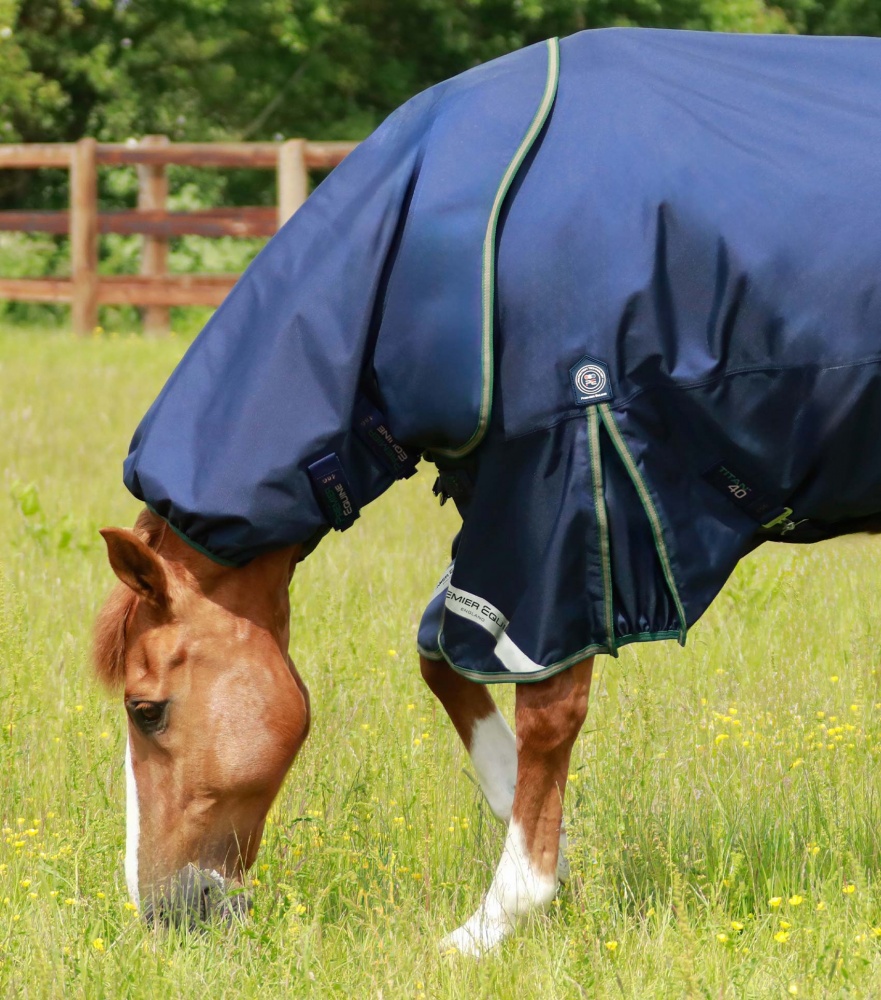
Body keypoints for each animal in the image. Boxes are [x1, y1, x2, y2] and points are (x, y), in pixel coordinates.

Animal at [94, 28, 881, 955]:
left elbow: (548, 708)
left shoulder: (564, 507)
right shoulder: (502, 525)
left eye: (146, 709)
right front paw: (555, 853)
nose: (163, 911)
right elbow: (443, 659)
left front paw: (498, 916)